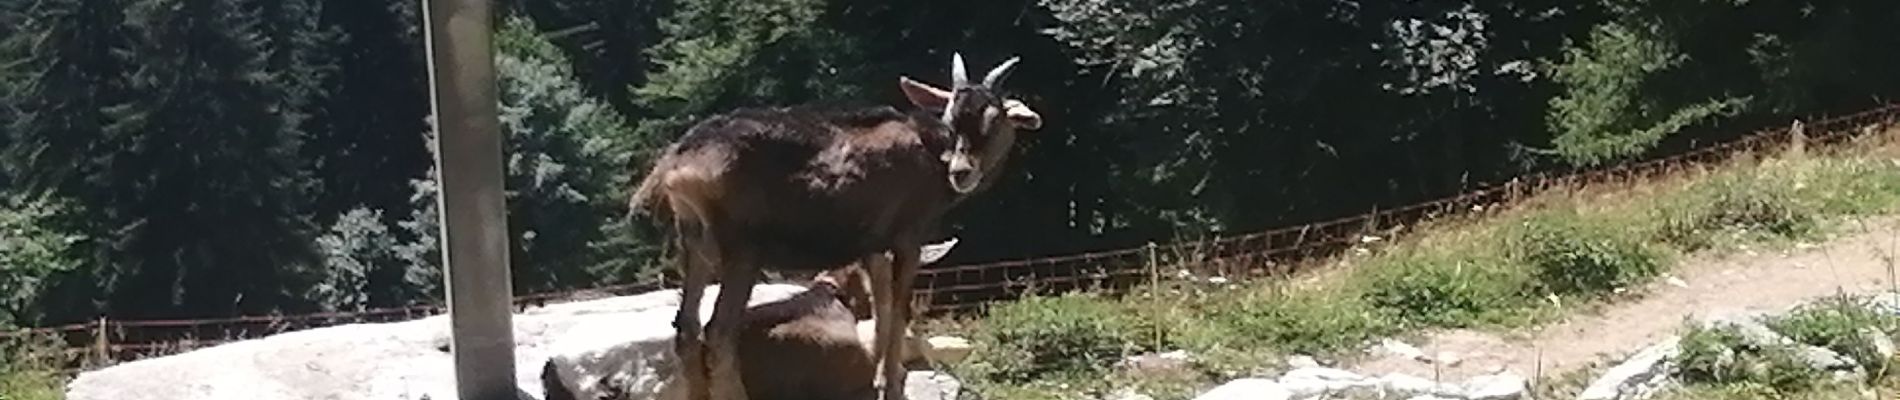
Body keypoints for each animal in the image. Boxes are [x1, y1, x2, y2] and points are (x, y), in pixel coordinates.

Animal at [630, 53, 1048, 400]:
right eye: (951, 118)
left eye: (994, 120)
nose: (961, 171)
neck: (928, 150)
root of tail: (673, 167)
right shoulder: (908, 234)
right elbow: (898, 308)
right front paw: (891, 384)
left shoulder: (872, 245)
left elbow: (880, 307)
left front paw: (880, 378)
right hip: (741, 246)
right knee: (717, 332)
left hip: (693, 242)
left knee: (686, 329)